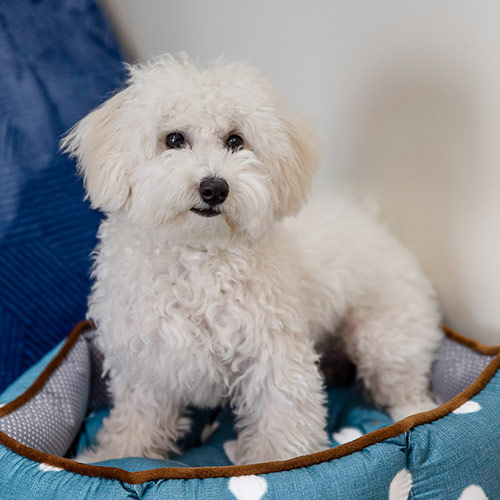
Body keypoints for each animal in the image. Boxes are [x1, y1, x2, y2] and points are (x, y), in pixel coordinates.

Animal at [61, 53, 442, 464]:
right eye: (174, 139)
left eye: (235, 141)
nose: (214, 188)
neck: (199, 255)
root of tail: (372, 220)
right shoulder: (148, 361)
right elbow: (138, 418)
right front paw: (116, 455)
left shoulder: (275, 355)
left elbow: (282, 420)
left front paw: (278, 463)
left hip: (385, 336)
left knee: (405, 386)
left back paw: (415, 414)